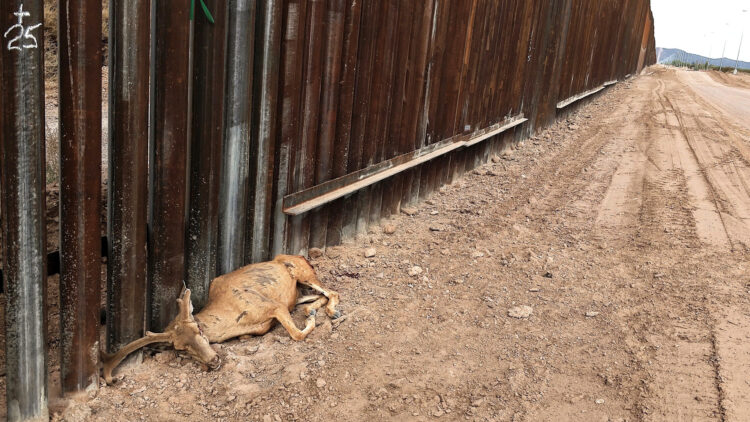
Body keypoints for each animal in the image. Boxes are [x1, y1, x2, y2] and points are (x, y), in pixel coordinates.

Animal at [102, 252, 340, 384]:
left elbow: (297, 334)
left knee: (332, 292)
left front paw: (311, 322)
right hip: (299, 290)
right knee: (318, 296)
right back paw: (316, 311)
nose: (213, 360)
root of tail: (300, 257)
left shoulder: (274, 306)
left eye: (199, 329)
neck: (233, 320)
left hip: (304, 273)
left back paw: (329, 312)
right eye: (180, 349)